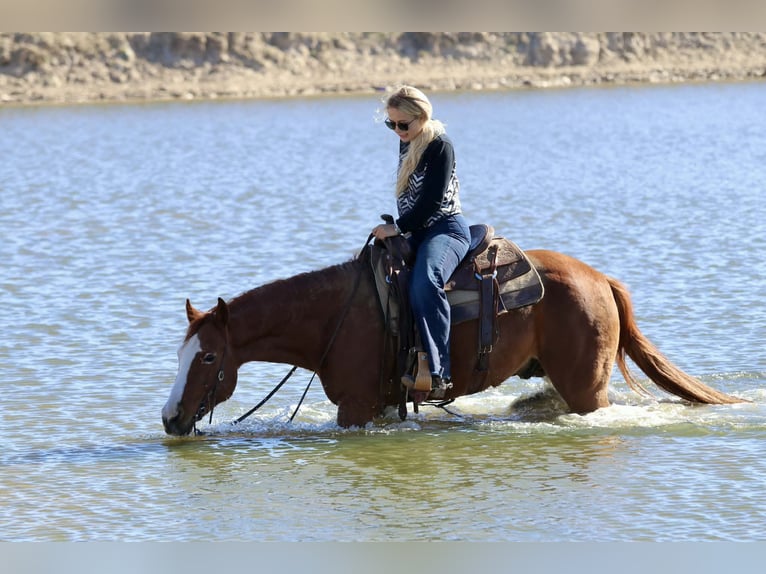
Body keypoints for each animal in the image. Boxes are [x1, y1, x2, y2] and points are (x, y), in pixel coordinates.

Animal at [161, 246, 743, 436]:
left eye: (208, 356)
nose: (170, 418)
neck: (334, 317)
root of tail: (601, 279)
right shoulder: (377, 404)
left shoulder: (355, 407)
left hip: (587, 391)